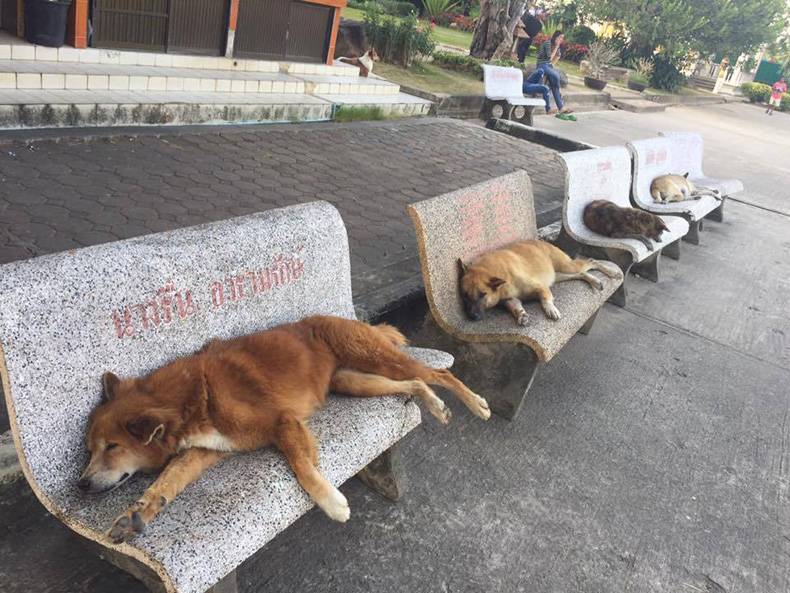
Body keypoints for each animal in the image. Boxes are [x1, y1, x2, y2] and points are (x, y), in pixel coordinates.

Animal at [79, 314, 488, 540]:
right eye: (89, 449)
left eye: (111, 447)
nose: (81, 484)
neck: (189, 398)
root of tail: (347, 317)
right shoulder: (205, 449)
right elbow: (167, 481)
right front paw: (137, 513)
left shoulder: (282, 421)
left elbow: (302, 466)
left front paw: (332, 502)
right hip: (355, 382)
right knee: (415, 383)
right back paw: (434, 404)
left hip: (375, 359)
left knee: (436, 373)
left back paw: (476, 404)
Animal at [460, 238, 620, 326]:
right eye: (465, 296)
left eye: (483, 295)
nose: (472, 317)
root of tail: (542, 242)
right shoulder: (510, 299)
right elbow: (514, 307)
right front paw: (521, 315)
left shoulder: (541, 287)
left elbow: (545, 298)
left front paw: (550, 308)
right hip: (559, 275)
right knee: (581, 273)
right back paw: (595, 280)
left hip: (566, 266)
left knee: (591, 261)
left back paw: (612, 272)